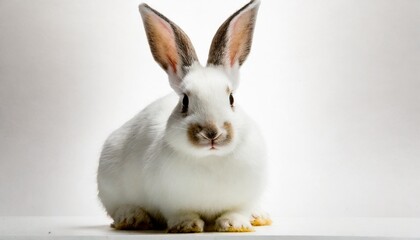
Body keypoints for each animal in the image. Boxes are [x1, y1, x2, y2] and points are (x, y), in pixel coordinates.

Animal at [97, 0, 270, 232]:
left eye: (231, 98)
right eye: (185, 101)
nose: (212, 133)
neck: (210, 159)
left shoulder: (244, 198)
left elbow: (236, 210)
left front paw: (235, 224)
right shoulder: (171, 202)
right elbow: (181, 213)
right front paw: (186, 226)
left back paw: (259, 216)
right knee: (119, 208)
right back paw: (132, 218)